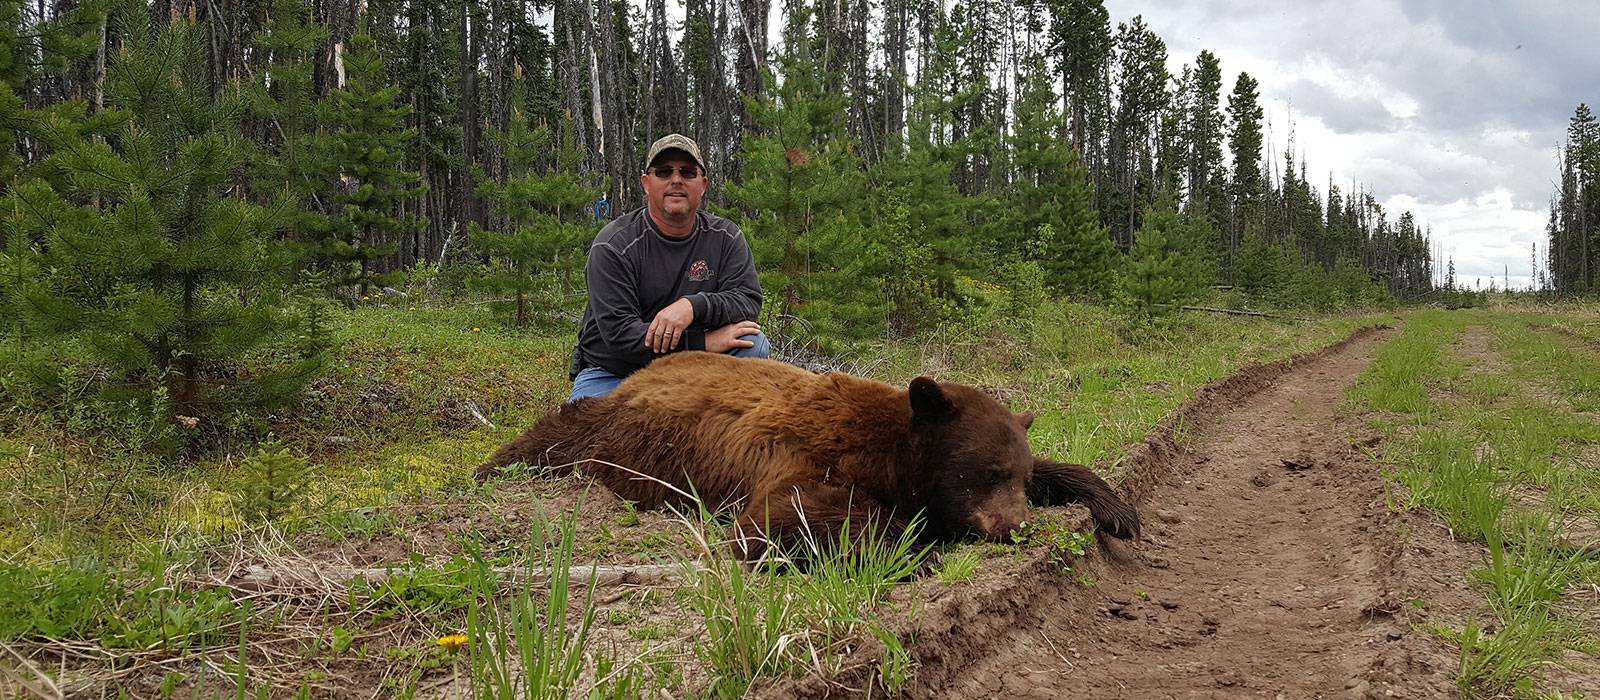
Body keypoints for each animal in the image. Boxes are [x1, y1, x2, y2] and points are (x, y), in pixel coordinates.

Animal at [473, 353, 1139, 559]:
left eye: (1019, 477)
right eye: (989, 472)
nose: (1016, 526)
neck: (893, 451)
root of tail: (638, 375)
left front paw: (1118, 510)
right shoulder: (806, 455)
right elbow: (777, 519)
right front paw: (916, 540)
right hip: (607, 426)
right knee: (550, 437)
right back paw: (491, 468)